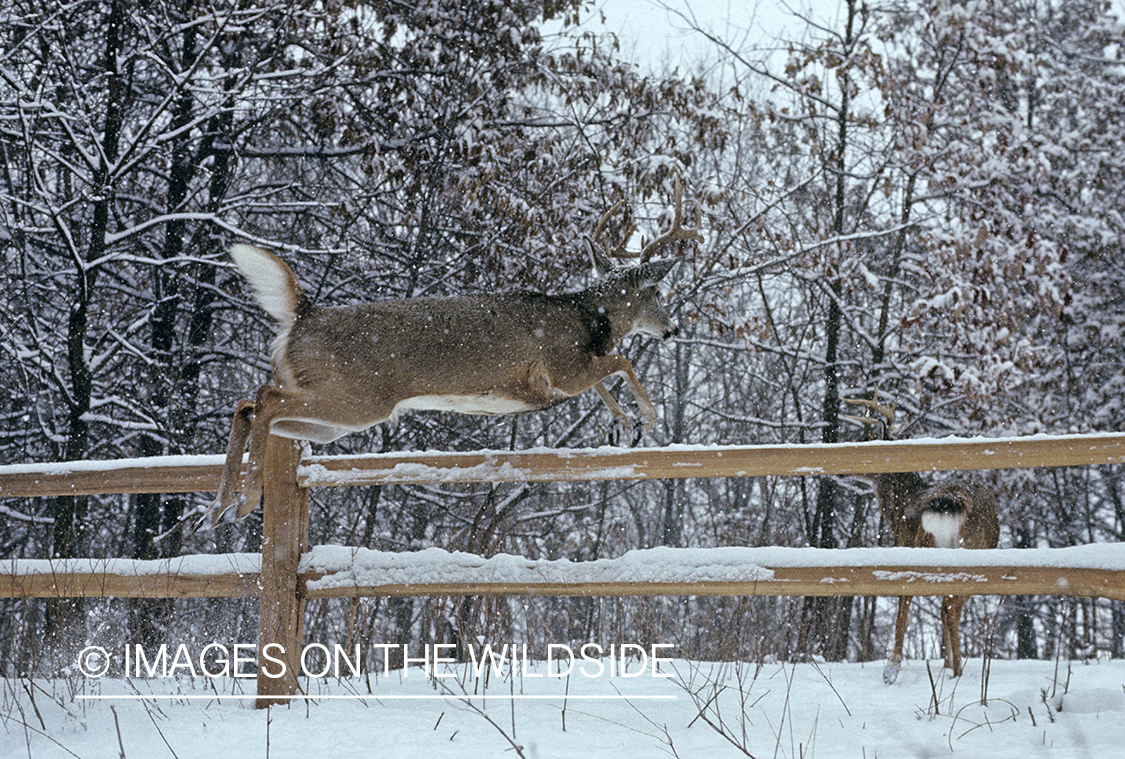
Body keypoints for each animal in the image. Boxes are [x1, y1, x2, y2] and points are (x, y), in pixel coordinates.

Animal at [212, 179, 702, 521]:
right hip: (357, 396)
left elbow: (607, 375)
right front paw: (646, 418)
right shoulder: (561, 365)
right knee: (264, 399)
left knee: (247, 405)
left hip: (332, 418)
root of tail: (303, 316)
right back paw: (243, 500)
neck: (586, 318)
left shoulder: (565, 376)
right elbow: (621, 361)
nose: (672, 329)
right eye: (657, 292)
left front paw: (622, 424)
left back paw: (218, 506)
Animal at [846, 395, 1003, 683]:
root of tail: (955, 499)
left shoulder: (906, 544)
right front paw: (944, 663)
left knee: (948, 607)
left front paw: (892, 668)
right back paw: (953, 668)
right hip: (977, 549)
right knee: (950, 607)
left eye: (865, 440)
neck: (898, 509)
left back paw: (956, 672)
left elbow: (903, 607)